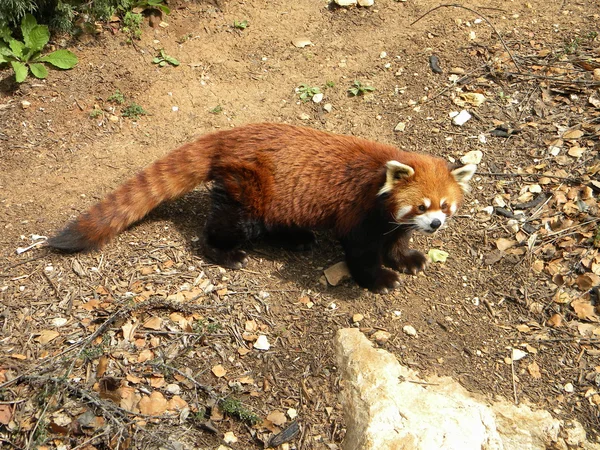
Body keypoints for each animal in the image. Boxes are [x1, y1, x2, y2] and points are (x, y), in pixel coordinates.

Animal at [49, 121, 476, 294]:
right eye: (420, 206)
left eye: (444, 206)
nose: (435, 225)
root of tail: (228, 135)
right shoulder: (360, 213)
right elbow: (360, 252)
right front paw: (381, 279)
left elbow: (397, 242)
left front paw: (408, 258)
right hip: (249, 187)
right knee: (231, 224)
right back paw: (225, 253)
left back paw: (296, 238)